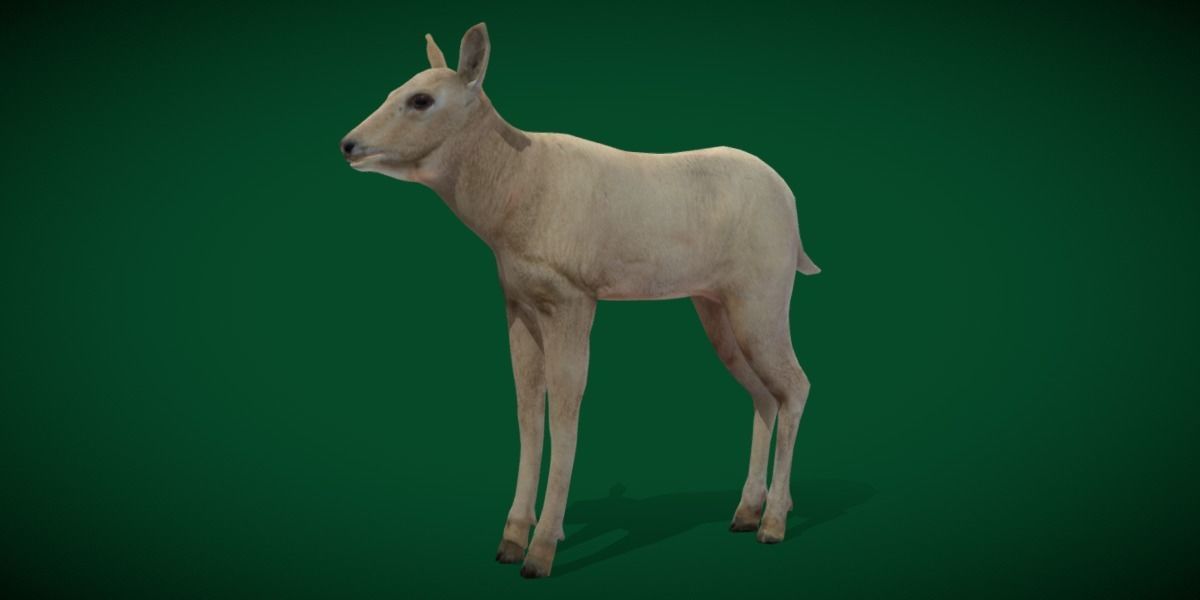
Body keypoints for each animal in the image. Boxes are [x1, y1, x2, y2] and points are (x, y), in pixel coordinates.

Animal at [341, 23, 821, 578]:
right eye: (392, 91)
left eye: (421, 99)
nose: (348, 144)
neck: (508, 197)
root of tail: (793, 209)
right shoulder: (518, 302)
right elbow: (528, 409)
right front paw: (510, 539)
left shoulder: (572, 297)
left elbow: (566, 409)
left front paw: (541, 551)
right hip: (716, 304)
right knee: (765, 392)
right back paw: (747, 511)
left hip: (763, 292)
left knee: (796, 384)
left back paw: (773, 524)